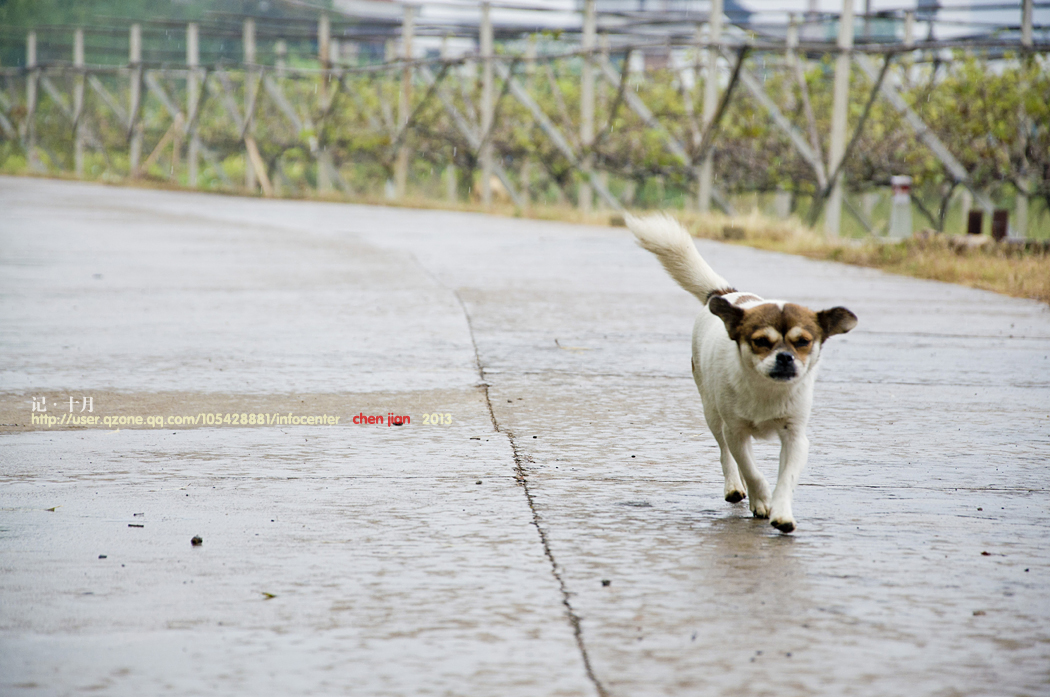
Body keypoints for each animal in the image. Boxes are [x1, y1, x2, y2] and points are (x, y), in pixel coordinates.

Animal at [625, 215, 856, 531]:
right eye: (760, 341)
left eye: (803, 342)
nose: (785, 357)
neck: (765, 390)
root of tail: (726, 295)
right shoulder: (734, 430)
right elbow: (751, 469)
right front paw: (761, 501)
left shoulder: (795, 437)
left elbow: (786, 479)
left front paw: (781, 513)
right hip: (712, 414)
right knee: (727, 455)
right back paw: (735, 487)